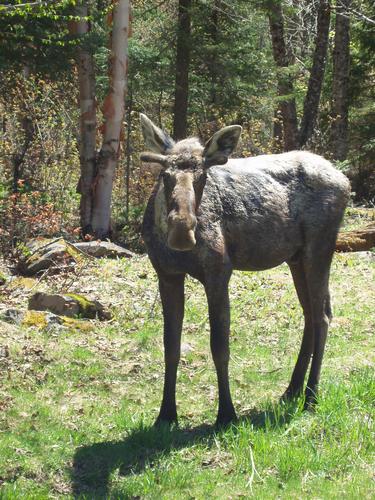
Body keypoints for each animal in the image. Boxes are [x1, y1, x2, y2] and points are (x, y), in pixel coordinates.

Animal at [140, 113, 352, 426]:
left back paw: (311, 395)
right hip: (296, 257)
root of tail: (345, 180)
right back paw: (291, 389)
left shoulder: (219, 271)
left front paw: (226, 413)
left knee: (322, 315)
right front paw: (166, 414)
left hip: (320, 248)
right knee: (311, 314)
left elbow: (220, 346)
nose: (182, 230)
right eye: (164, 175)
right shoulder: (166, 275)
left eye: (203, 176)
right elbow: (171, 346)